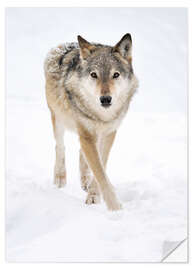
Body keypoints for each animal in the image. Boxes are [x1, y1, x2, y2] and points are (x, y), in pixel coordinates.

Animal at [43, 34, 138, 211]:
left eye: (115, 75)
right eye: (94, 75)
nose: (105, 99)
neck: (101, 116)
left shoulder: (109, 133)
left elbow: (101, 166)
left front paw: (93, 194)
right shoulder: (86, 134)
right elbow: (100, 172)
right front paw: (115, 208)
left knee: (82, 153)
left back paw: (85, 181)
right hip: (58, 117)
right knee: (60, 146)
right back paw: (60, 177)